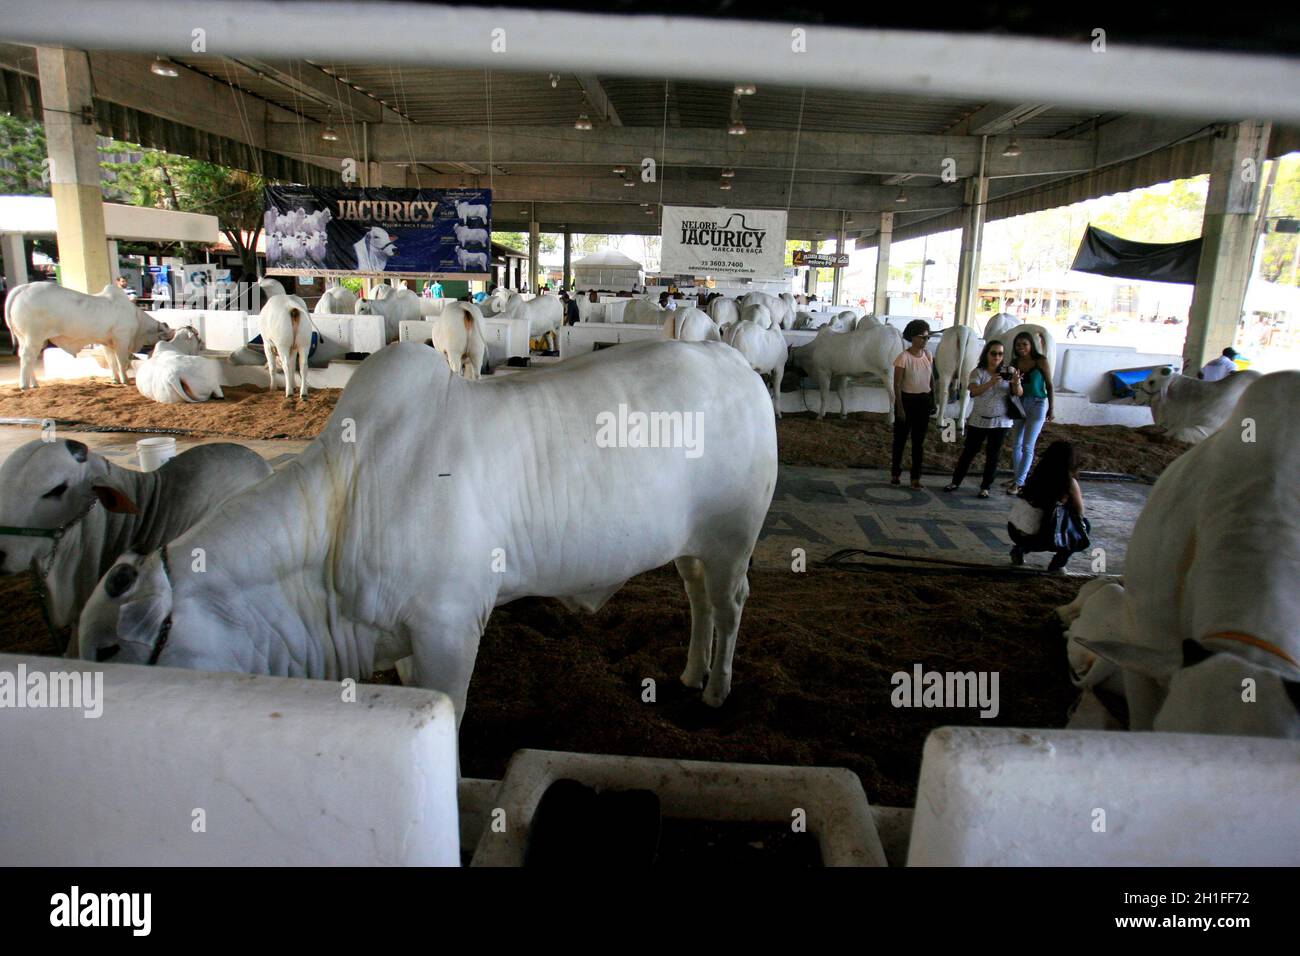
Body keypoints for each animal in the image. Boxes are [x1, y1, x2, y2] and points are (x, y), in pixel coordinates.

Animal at [3, 280, 172, 390]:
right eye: (164, 335)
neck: (137, 319)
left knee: (25, 357)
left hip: (24, 338)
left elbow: (111, 362)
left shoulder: (107, 342)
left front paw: (115, 379)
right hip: (34, 336)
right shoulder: (121, 339)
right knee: (27, 357)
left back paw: (34, 383)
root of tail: (24, 288)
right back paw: (25, 385)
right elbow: (121, 361)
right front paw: (125, 380)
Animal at [81, 340, 780, 723]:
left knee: (730, 605)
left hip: (733, 537)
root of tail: (733, 361)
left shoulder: (449, 625)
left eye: (108, 650)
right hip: (692, 546)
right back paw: (689, 672)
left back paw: (716, 689)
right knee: (697, 599)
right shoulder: (401, 633)